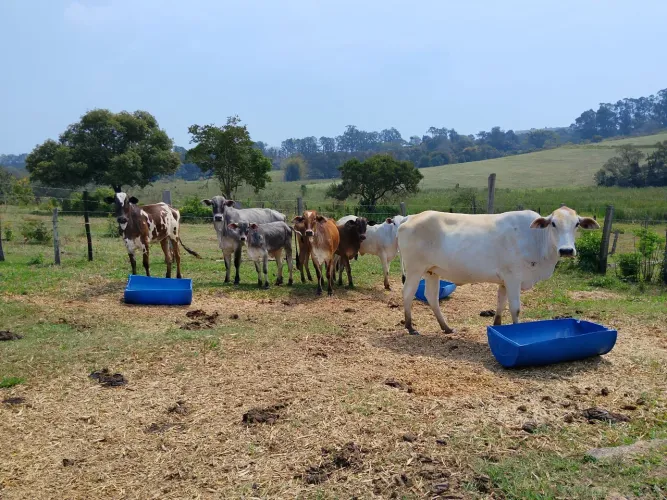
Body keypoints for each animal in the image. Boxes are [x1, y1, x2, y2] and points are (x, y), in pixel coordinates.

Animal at [397, 207, 599, 335]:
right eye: (554, 224)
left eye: (577, 224)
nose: (566, 250)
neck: (535, 239)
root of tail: (411, 217)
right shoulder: (513, 278)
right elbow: (515, 308)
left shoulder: (504, 281)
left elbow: (501, 304)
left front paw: (498, 326)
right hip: (414, 269)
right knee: (408, 293)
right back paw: (410, 326)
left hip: (432, 271)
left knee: (431, 297)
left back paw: (446, 327)